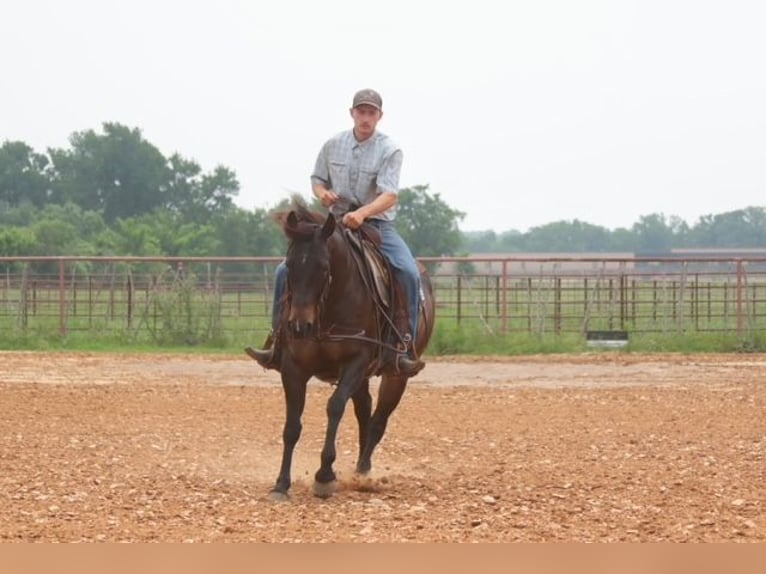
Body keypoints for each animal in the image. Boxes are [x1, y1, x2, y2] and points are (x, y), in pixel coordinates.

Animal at [266, 202, 435, 500]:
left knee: (378, 421)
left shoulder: (355, 362)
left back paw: (363, 474)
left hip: (395, 375)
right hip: (363, 378)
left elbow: (334, 407)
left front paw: (324, 476)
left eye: (323, 267)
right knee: (364, 412)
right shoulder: (293, 367)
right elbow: (292, 426)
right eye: (290, 264)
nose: (299, 325)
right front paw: (281, 484)